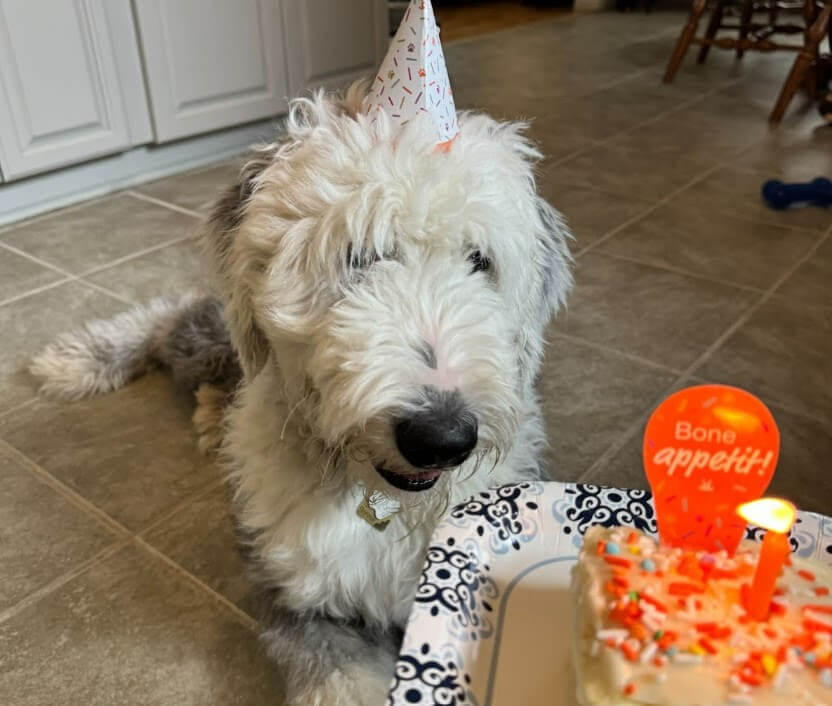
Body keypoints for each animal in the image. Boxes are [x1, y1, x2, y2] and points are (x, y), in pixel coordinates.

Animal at [29, 84, 572, 704]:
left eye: (479, 260)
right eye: (359, 256)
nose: (440, 436)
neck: (384, 503)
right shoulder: (305, 601)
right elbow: (340, 679)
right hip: (213, 340)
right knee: (169, 317)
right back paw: (78, 361)